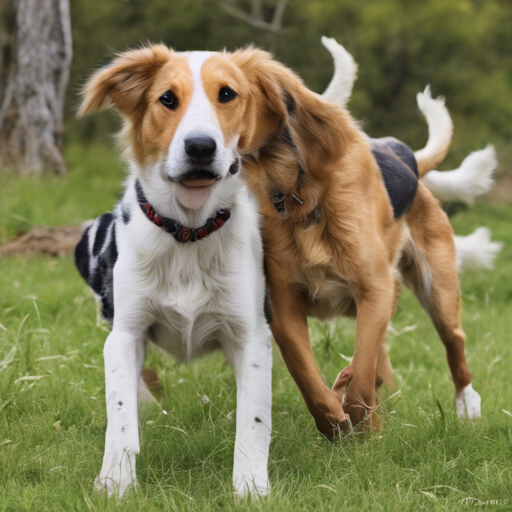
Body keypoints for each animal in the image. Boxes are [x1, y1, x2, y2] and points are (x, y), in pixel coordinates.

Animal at [75, 48, 276, 496]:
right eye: (167, 98)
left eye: (226, 94)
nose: (200, 146)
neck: (189, 233)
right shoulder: (125, 334)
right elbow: (120, 416)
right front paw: (115, 483)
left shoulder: (251, 337)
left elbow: (253, 421)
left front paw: (251, 487)